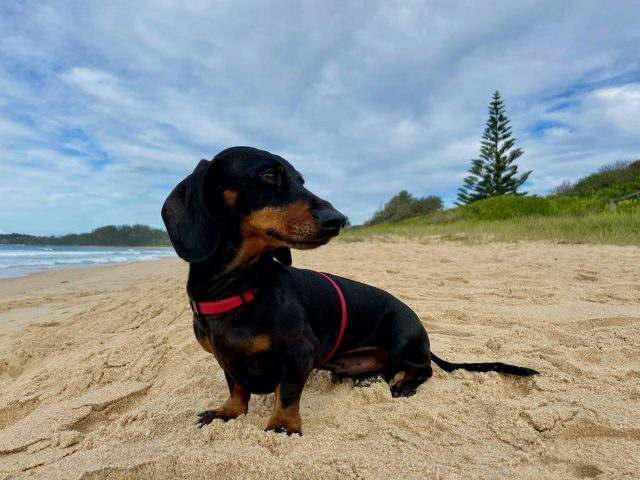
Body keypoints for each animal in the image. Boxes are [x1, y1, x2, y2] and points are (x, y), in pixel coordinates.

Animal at [162, 146, 536, 436]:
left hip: (402, 341)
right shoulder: (224, 358)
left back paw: (404, 382)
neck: (239, 288)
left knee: (425, 367)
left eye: (301, 179)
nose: (338, 219)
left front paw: (283, 425)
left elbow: (288, 393)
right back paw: (369, 379)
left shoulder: (300, 354)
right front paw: (227, 412)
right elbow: (237, 387)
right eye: (269, 175)